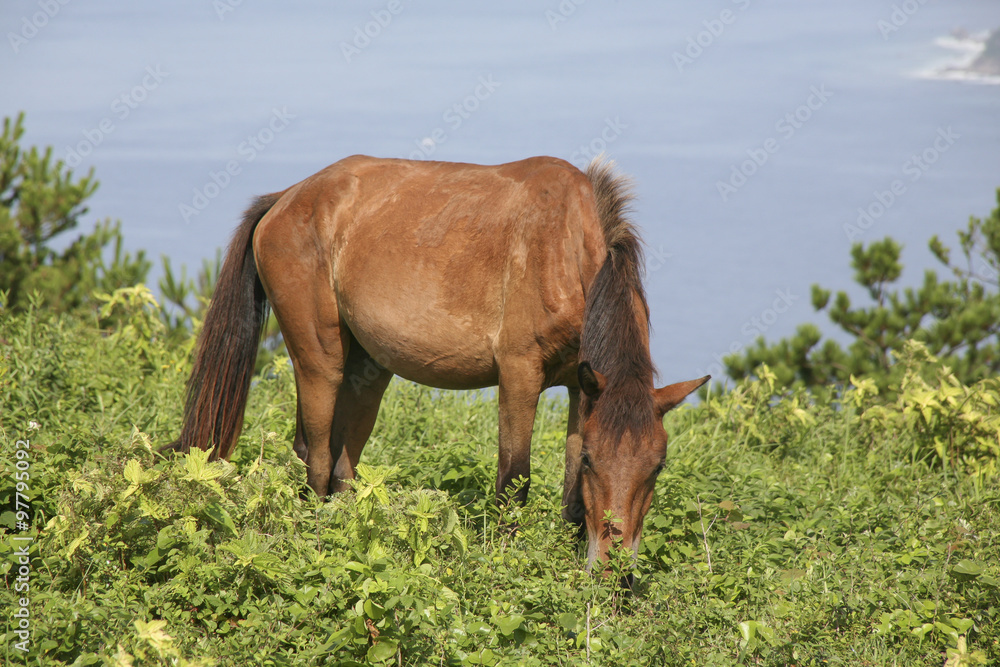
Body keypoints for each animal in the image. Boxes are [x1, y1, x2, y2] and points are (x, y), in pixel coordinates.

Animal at [169, 154, 708, 569]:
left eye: (658, 466)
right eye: (599, 460)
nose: (615, 570)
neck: (565, 245)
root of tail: (285, 198)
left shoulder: (582, 384)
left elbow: (573, 495)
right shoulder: (520, 375)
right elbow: (514, 479)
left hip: (369, 372)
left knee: (341, 465)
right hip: (320, 360)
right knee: (317, 459)